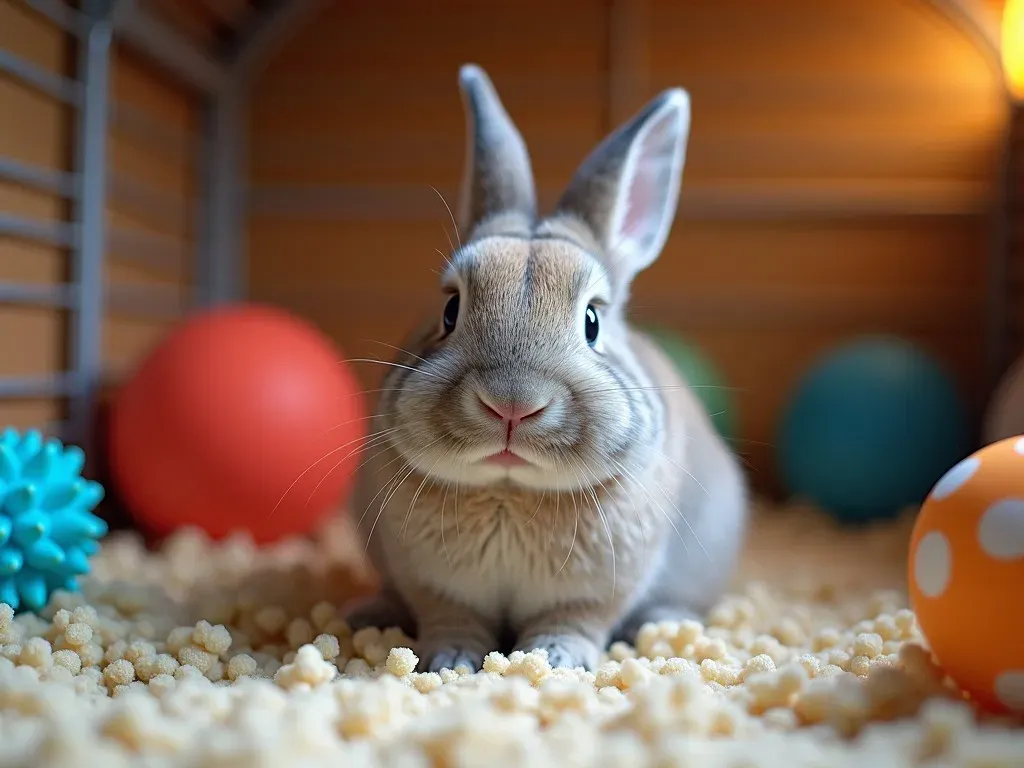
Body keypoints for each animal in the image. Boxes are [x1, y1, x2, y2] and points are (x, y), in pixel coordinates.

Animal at [344, 63, 753, 671]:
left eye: (592, 322)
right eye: (449, 310)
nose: (512, 405)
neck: (510, 491)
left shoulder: (596, 592)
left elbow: (574, 620)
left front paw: (555, 658)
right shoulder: (434, 586)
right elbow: (452, 618)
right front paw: (453, 660)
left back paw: (660, 623)